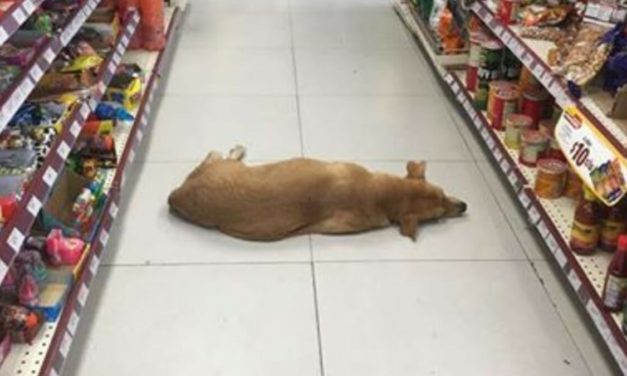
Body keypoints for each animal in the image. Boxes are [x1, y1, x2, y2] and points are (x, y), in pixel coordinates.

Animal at [167, 147, 466, 241]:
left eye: (444, 194)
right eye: (439, 214)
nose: (464, 206)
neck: (381, 193)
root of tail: (176, 196)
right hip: (224, 165)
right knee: (216, 153)